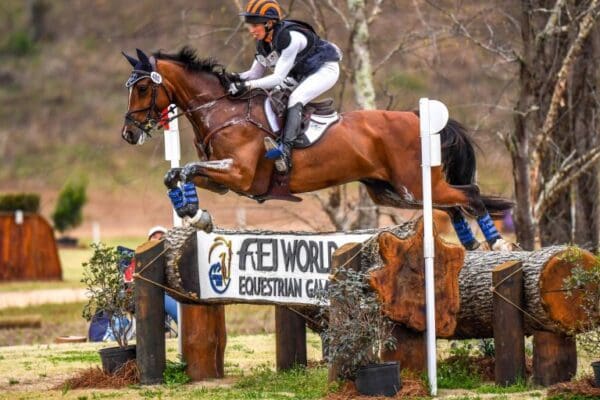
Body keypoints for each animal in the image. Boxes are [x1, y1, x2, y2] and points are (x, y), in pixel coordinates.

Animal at [119, 47, 512, 250]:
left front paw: (195, 214)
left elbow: (184, 170)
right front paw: (196, 215)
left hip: (412, 185)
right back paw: (472, 245)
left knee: (471, 194)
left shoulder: (240, 174)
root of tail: (417, 116)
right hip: (393, 192)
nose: (128, 133)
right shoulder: (222, 180)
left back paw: (497, 245)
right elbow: (175, 174)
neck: (222, 110)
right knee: (455, 204)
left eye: (143, 88)